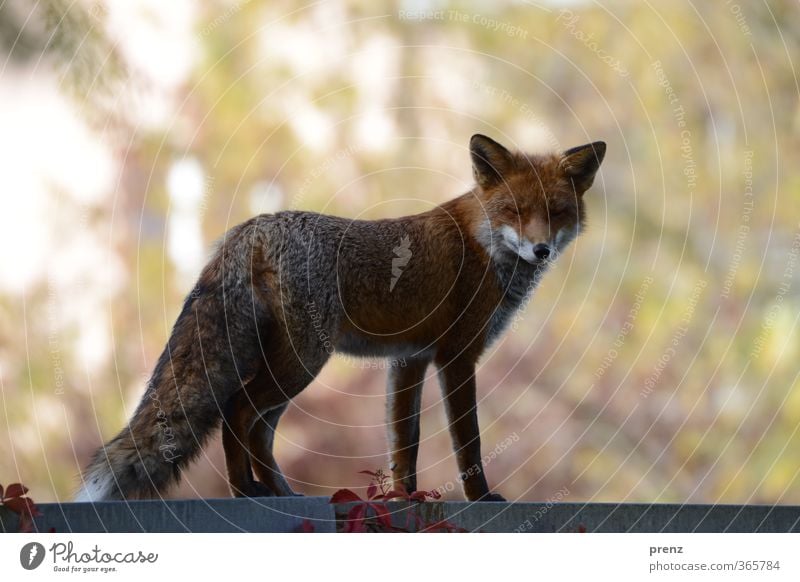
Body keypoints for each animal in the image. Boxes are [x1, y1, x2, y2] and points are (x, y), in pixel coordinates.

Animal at [75, 135, 604, 504]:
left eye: (557, 213)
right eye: (515, 211)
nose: (541, 250)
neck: (484, 245)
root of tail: (251, 228)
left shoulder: (408, 360)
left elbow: (405, 443)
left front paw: (405, 499)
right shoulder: (456, 358)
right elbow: (469, 443)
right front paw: (480, 498)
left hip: (291, 366)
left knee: (255, 427)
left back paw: (277, 492)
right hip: (305, 360)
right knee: (236, 411)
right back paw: (247, 492)